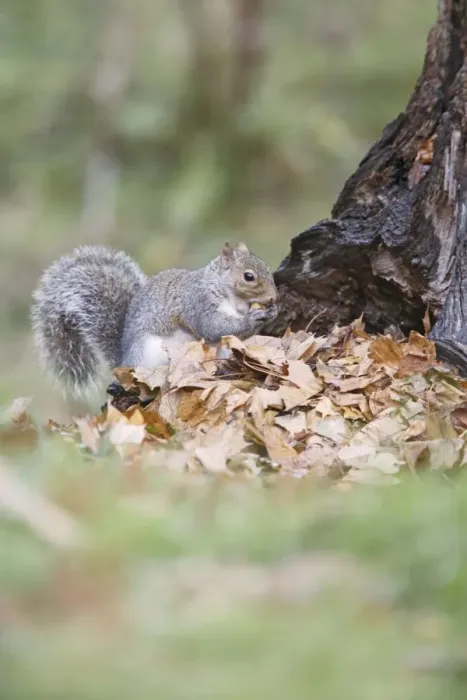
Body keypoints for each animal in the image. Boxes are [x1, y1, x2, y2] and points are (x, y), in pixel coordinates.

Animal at [31, 242, 277, 398]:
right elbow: (212, 327)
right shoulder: (196, 303)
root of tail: (122, 361)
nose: (273, 297)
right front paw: (253, 317)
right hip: (148, 357)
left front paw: (272, 312)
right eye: (248, 276)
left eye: (267, 267)